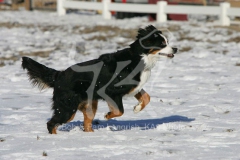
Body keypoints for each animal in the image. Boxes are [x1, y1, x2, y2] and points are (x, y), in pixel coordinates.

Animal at [21, 25, 177, 134]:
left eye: (167, 41)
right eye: (162, 43)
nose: (175, 49)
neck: (140, 58)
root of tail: (59, 75)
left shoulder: (134, 86)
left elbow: (147, 97)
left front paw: (137, 108)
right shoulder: (111, 91)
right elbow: (119, 110)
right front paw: (108, 115)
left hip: (88, 105)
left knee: (86, 124)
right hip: (67, 108)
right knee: (52, 123)